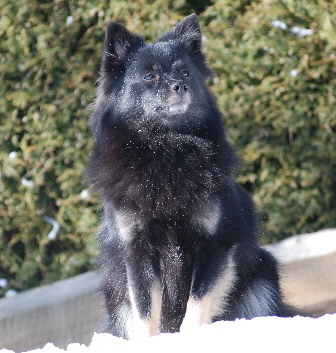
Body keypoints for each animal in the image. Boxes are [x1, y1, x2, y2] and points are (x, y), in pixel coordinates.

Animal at [86, 13, 294, 338]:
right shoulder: (137, 253)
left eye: (184, 72)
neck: (167, 149)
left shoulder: (214, 246)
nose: (180, 86)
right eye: (149, 76)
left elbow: (196, 304)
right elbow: (145, 312)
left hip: (263, 278)